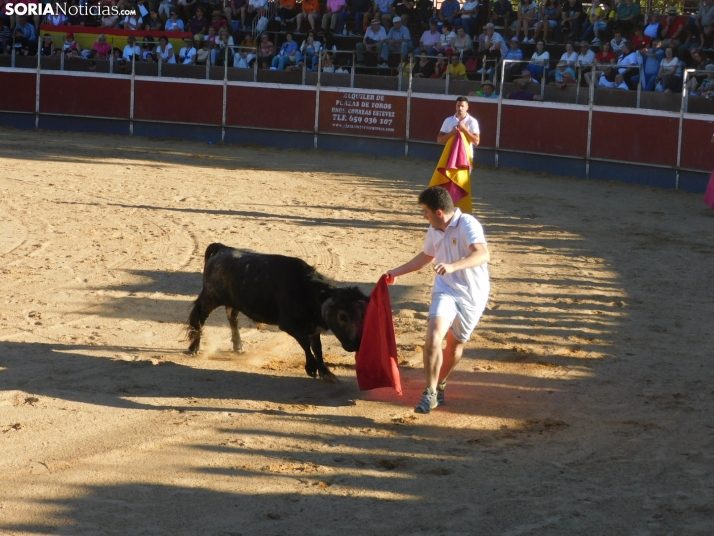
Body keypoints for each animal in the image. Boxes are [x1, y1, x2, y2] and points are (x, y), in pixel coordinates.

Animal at [186, 243, 370, 382]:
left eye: (363, 315)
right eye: (343, 316)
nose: (355, 344)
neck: (307, 291)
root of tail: (221, 249)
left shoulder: (313, 327)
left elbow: (317, 348)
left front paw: (326, 373)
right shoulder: (289, 325)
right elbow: (305, 343)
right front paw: (311, 368)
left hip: (233, 301)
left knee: (232, 317)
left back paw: (238, 347)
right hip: (210, 297)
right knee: (199, 317)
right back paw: (194, 348)